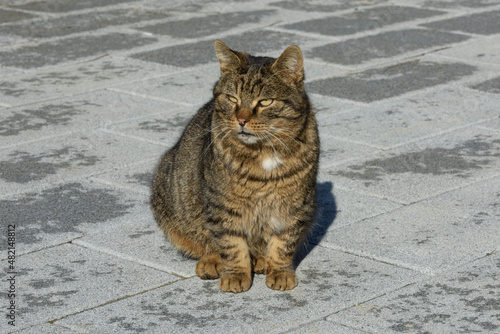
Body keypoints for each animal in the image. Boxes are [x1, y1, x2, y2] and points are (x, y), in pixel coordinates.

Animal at [150, 40, 318, 294]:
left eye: (265, 101)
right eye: (232, 98)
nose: (241, 120)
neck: (262, 152)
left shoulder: (293, 206)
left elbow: (283, 243)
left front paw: (279, 270)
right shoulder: (222, 206)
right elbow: (232, 244)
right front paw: (236, 274)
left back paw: (261, 261)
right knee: (207, 243)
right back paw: (212, 261)